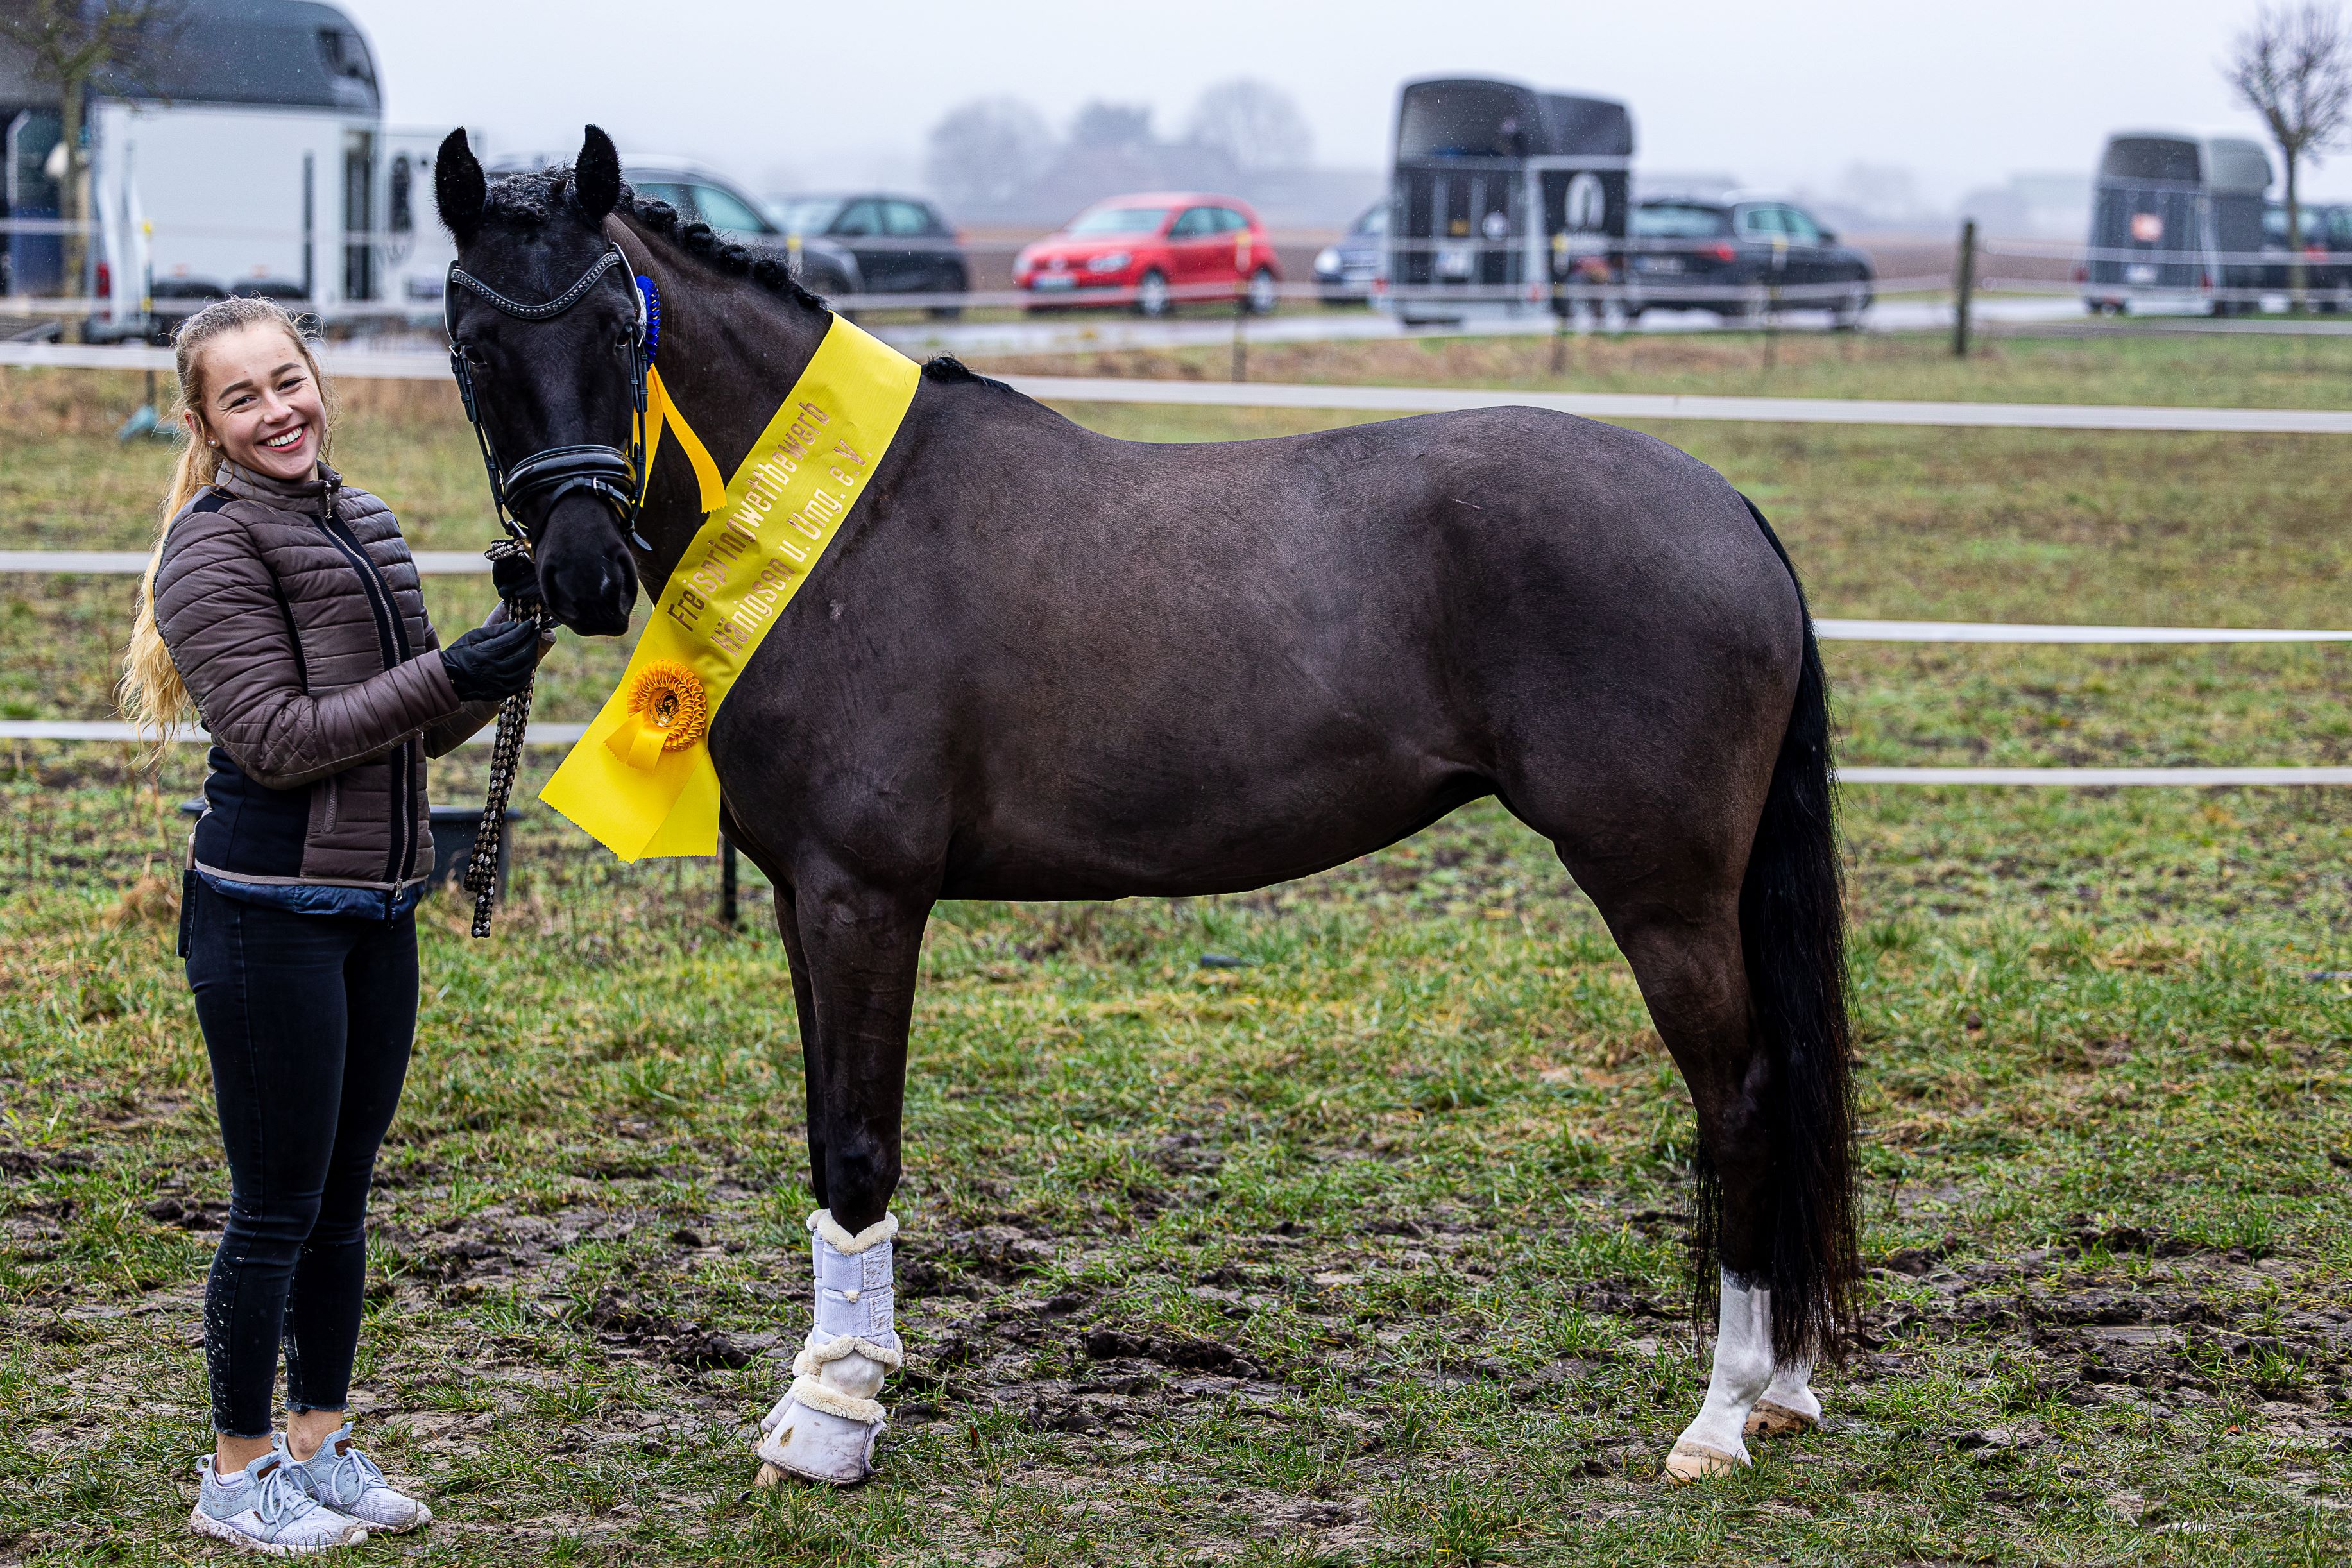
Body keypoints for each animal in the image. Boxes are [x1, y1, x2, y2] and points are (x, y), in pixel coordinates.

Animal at [432, 126, 1857, 1487]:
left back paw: (1721, 1415)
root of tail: (1728, 508)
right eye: (474, 343)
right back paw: (1780, 1389)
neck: (844, 532)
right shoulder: (801, 897)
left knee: (1743, 1096)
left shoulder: (862, 895)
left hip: (1661, 888)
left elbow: (859, 1145)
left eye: (617, 330)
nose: (578, 574)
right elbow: (825, 1138)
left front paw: (832, 1419)